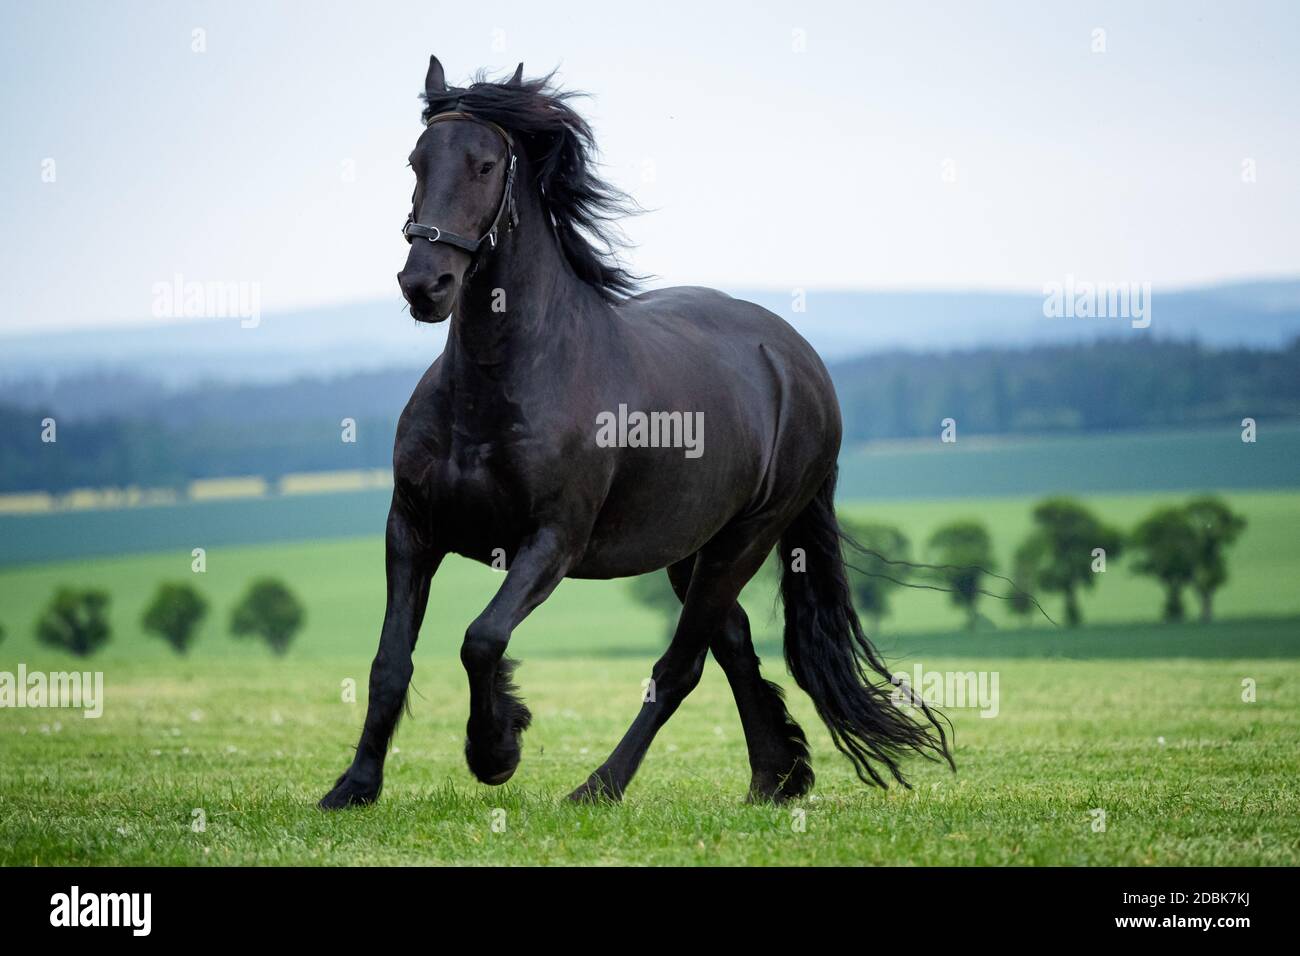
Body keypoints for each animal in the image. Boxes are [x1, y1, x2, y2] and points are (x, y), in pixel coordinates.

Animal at [319, 56, 952, 809]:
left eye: (484, 164)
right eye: (416, 161)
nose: (425, 284)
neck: (498, 389)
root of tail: (796, 359)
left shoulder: (552, 542)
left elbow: (482, 638)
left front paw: (496, 748)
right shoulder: (412, 530)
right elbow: (390, 661)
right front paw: (354, 787)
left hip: (746, 538)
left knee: (681, 667)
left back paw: (600, 786)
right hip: (690, 548)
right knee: (732, 643)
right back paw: (775, 777)